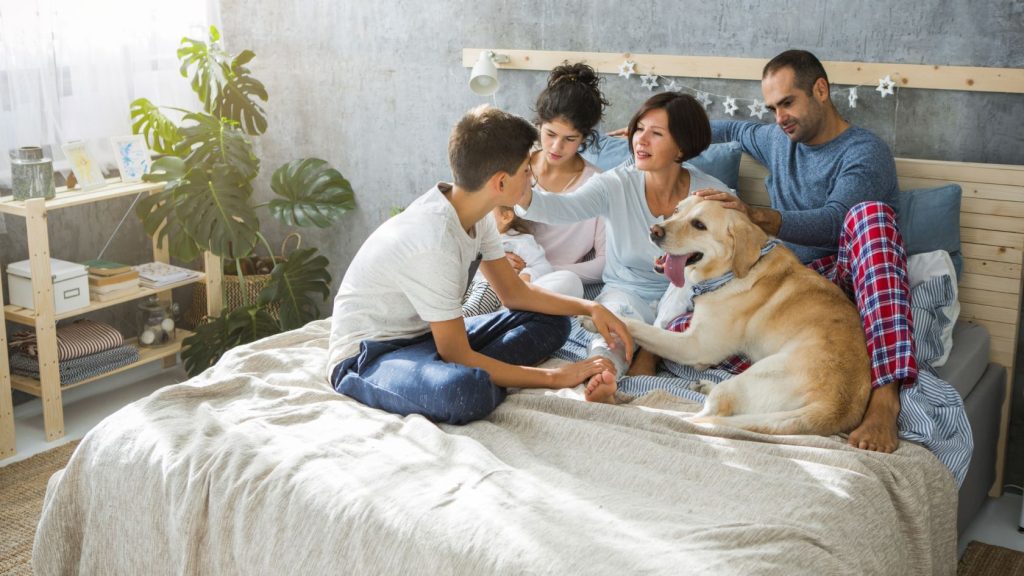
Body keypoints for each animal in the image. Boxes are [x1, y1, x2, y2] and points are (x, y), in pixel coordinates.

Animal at [593, 193, 864, 434]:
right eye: (678, 210)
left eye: (699, 225)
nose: (654, 230)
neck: (732, 272)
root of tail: (834, 408)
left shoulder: (696, 346)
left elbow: (640, 327)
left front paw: (598, 318)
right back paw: (704, 386)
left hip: (754, 377)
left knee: (703, 416)